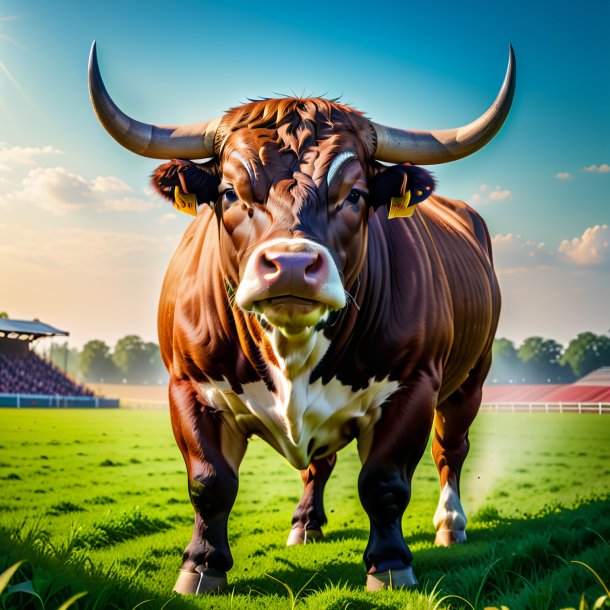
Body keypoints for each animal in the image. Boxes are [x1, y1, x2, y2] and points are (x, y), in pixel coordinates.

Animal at [86, 44, 512, 592]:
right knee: (320, 464)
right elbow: (210, 481)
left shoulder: (415, 383)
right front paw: (201, 565)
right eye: (229, 192)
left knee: (450, 450)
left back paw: (450, 524)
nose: (290, 266)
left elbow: (384, 482)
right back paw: (305, 524)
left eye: (354, 194)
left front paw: (390, 565)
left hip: (470, 381)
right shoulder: (187, 384)